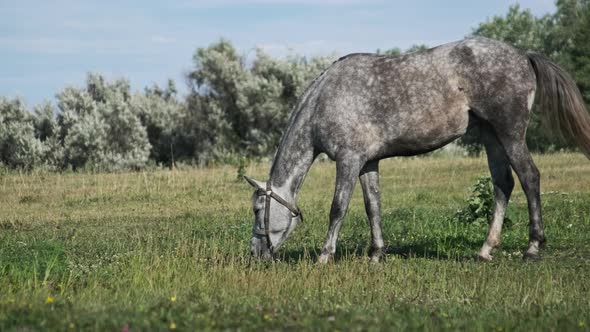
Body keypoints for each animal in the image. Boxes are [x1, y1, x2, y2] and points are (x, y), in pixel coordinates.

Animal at [244, 36, 590, 264]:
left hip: (510, 134)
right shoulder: (368, 162)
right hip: (491, 136)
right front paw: (376, 254)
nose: (256, 253)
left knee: (530, 178)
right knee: (503, 184)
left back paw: (532, 248)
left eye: (258, 210)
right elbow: (373, 206)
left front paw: (324, 257)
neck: (324, 100)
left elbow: (338, 208)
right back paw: (485, 250)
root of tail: (522, 54)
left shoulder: (348, 159)